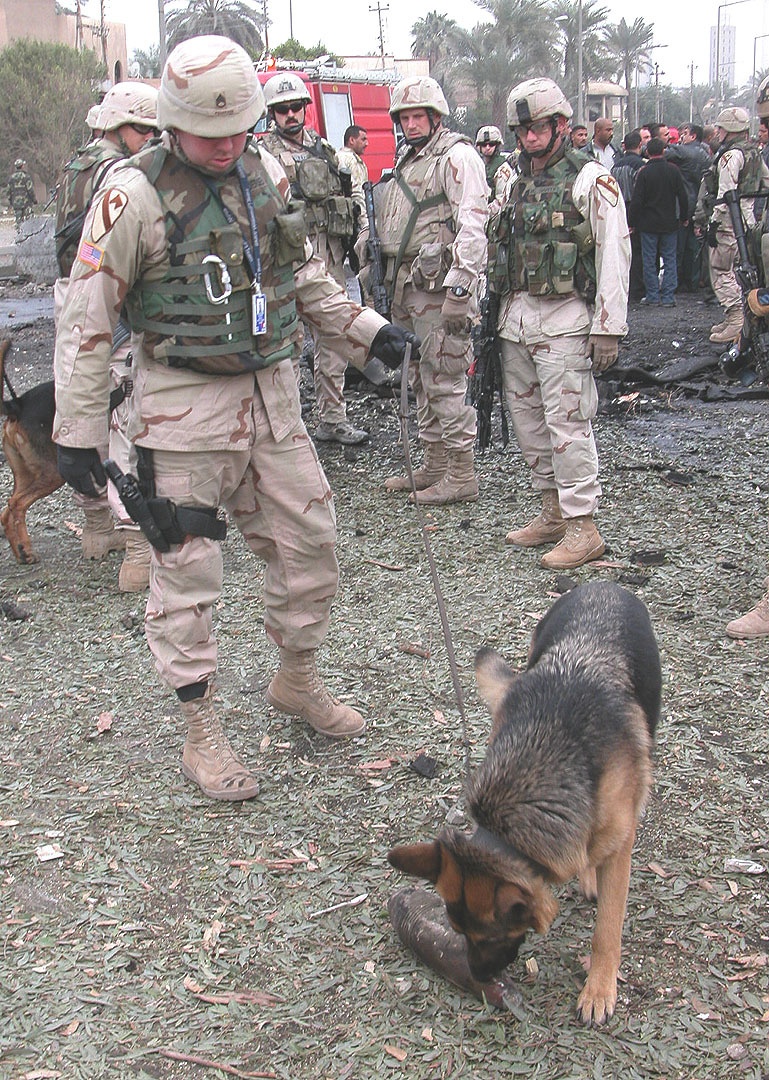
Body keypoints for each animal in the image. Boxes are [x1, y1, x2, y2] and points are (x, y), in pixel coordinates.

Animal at [386, 578, 665, 1023]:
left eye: (489, 936)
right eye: (457, 932)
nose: (477, 978)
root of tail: (602, 584)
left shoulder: (621, 841)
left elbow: (608, 927)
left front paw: (599, 988)